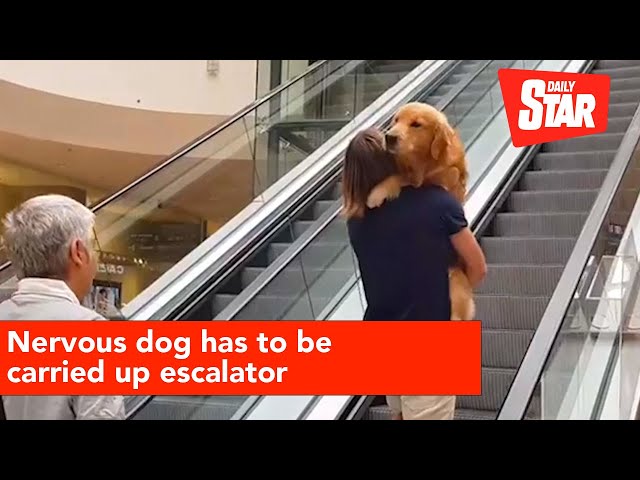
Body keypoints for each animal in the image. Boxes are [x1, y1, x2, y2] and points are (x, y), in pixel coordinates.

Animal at [364, 101, 476, 320]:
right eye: (396, 120)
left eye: (416, 124)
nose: (389, 137)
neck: (422, 163)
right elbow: (400, 176)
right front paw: (378, 191)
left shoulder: (445, 178)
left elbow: (417, 179)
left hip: (453, 279)